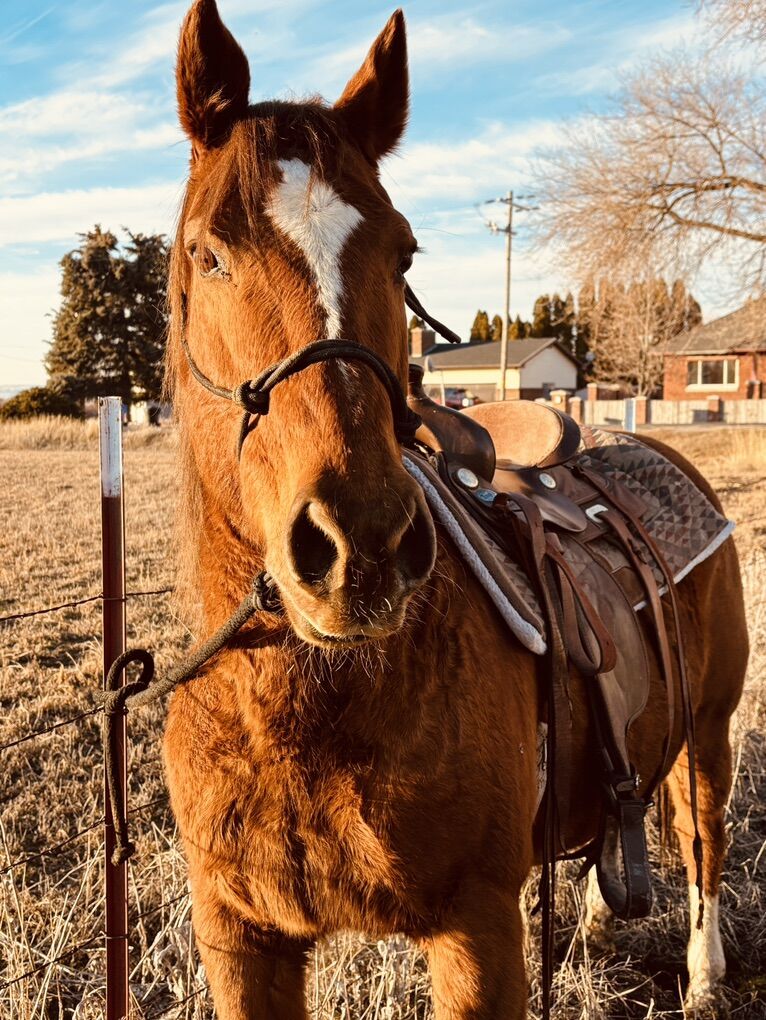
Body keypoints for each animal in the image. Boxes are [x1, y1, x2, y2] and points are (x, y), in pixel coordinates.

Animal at [163, 2, 748, 1016]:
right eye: (208, 248)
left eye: (403, 251)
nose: (360, 544)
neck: (302, 710)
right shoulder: (240, 941)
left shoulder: (477, 935)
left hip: (709, 728)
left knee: (704, 834)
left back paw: (706, 975)